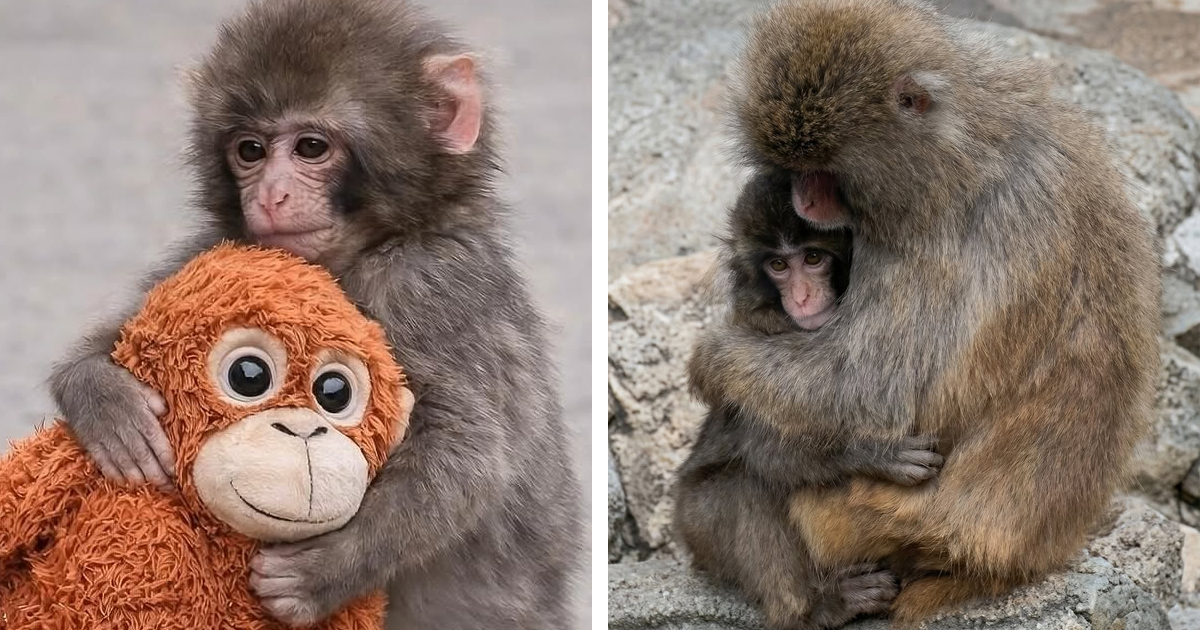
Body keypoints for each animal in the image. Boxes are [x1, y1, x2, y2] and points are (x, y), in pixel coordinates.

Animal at [46, 0, 581, 628]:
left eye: (310, 147)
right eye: (250, 150)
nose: (270, 195)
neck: (363, 249)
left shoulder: (430, 285)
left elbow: (467, 451)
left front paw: (322, 572)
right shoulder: (222, 250)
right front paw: (106, 400)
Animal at [683, 0, 1159, 625]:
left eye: (824, 171)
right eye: (793, 165)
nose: (803, 199)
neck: (966, 146)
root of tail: (1014, 562)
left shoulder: (927, 231)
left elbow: (873, 387)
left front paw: (711, 358)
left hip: (855, 519)